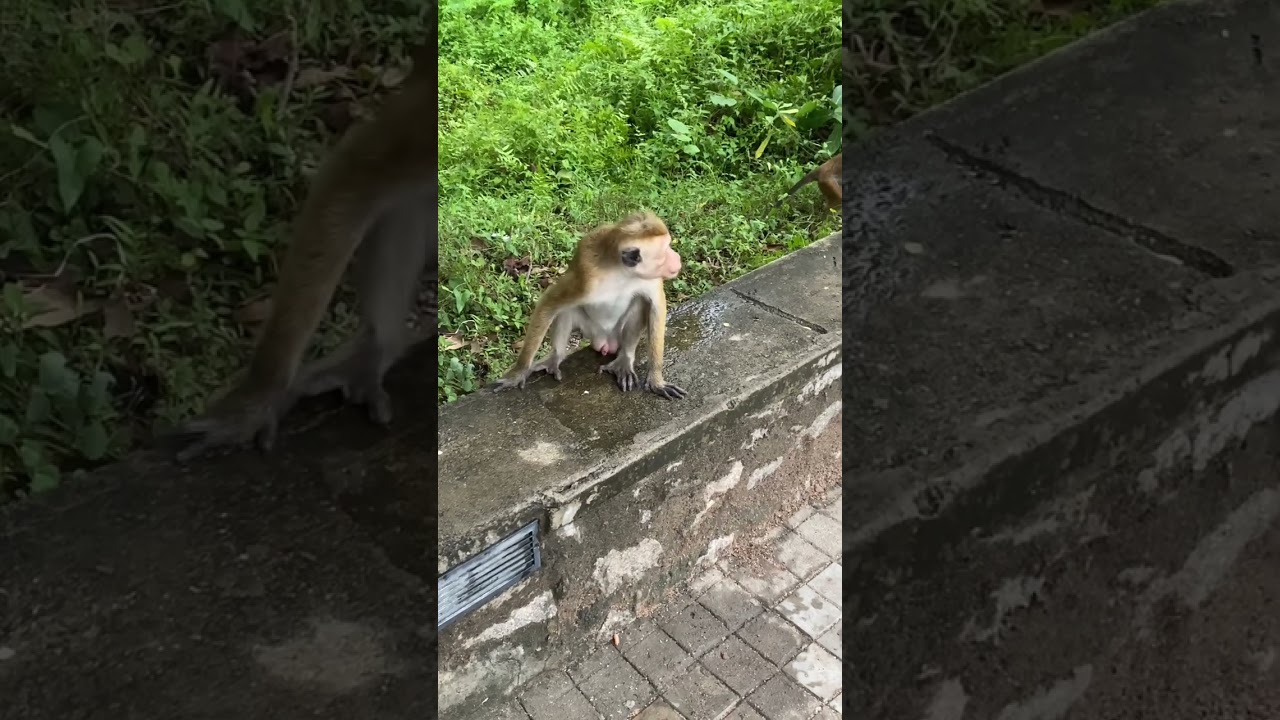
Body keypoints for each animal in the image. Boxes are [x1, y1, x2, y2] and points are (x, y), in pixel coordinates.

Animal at [490, 212, 688, 401]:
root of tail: (605, 342)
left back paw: (625, 360)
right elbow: (549, 301)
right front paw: (518, 372)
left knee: (639, 302)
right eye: (665, 249)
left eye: (668, 245)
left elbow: (656, 304)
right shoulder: (586, 277)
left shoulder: (649, 279)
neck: (621, 271)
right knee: (566, 309)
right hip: (590, 329)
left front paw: (656, 380)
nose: (677, 257)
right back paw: (556, 357)